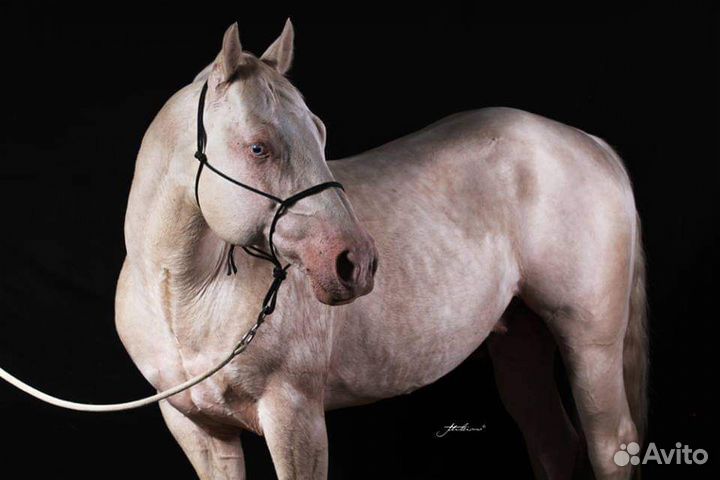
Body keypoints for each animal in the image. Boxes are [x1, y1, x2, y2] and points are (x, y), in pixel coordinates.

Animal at [115, 20, 647, 479]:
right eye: (258, 148)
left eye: (320, 132)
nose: (357, 262)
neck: (185, 297)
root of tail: (591, 144)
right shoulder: (200, 431)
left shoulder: (296, 417)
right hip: (520, 340)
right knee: (553, 442)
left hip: (591, 345)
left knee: (611, 446)